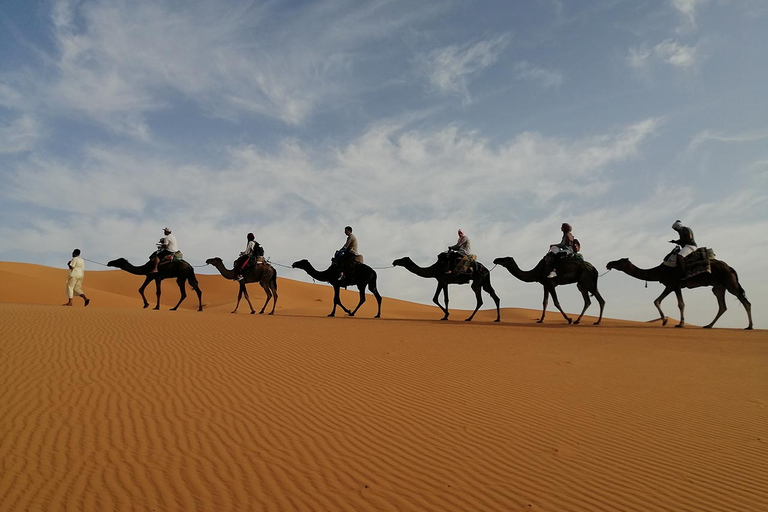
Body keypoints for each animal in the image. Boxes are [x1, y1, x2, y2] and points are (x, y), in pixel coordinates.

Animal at [608, 258, 752, 330]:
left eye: (619, 261)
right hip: (718, 287)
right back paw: (708, 325)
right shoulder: (670, 285)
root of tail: (730, 268)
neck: (660, 271)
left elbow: (680, 304)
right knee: (722, 306)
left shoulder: (675, 285)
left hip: (729, 283)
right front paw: (664, 321)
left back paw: (749, 326)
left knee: (745, 301)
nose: (609, 263)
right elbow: (657, 300)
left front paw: (679, 324)